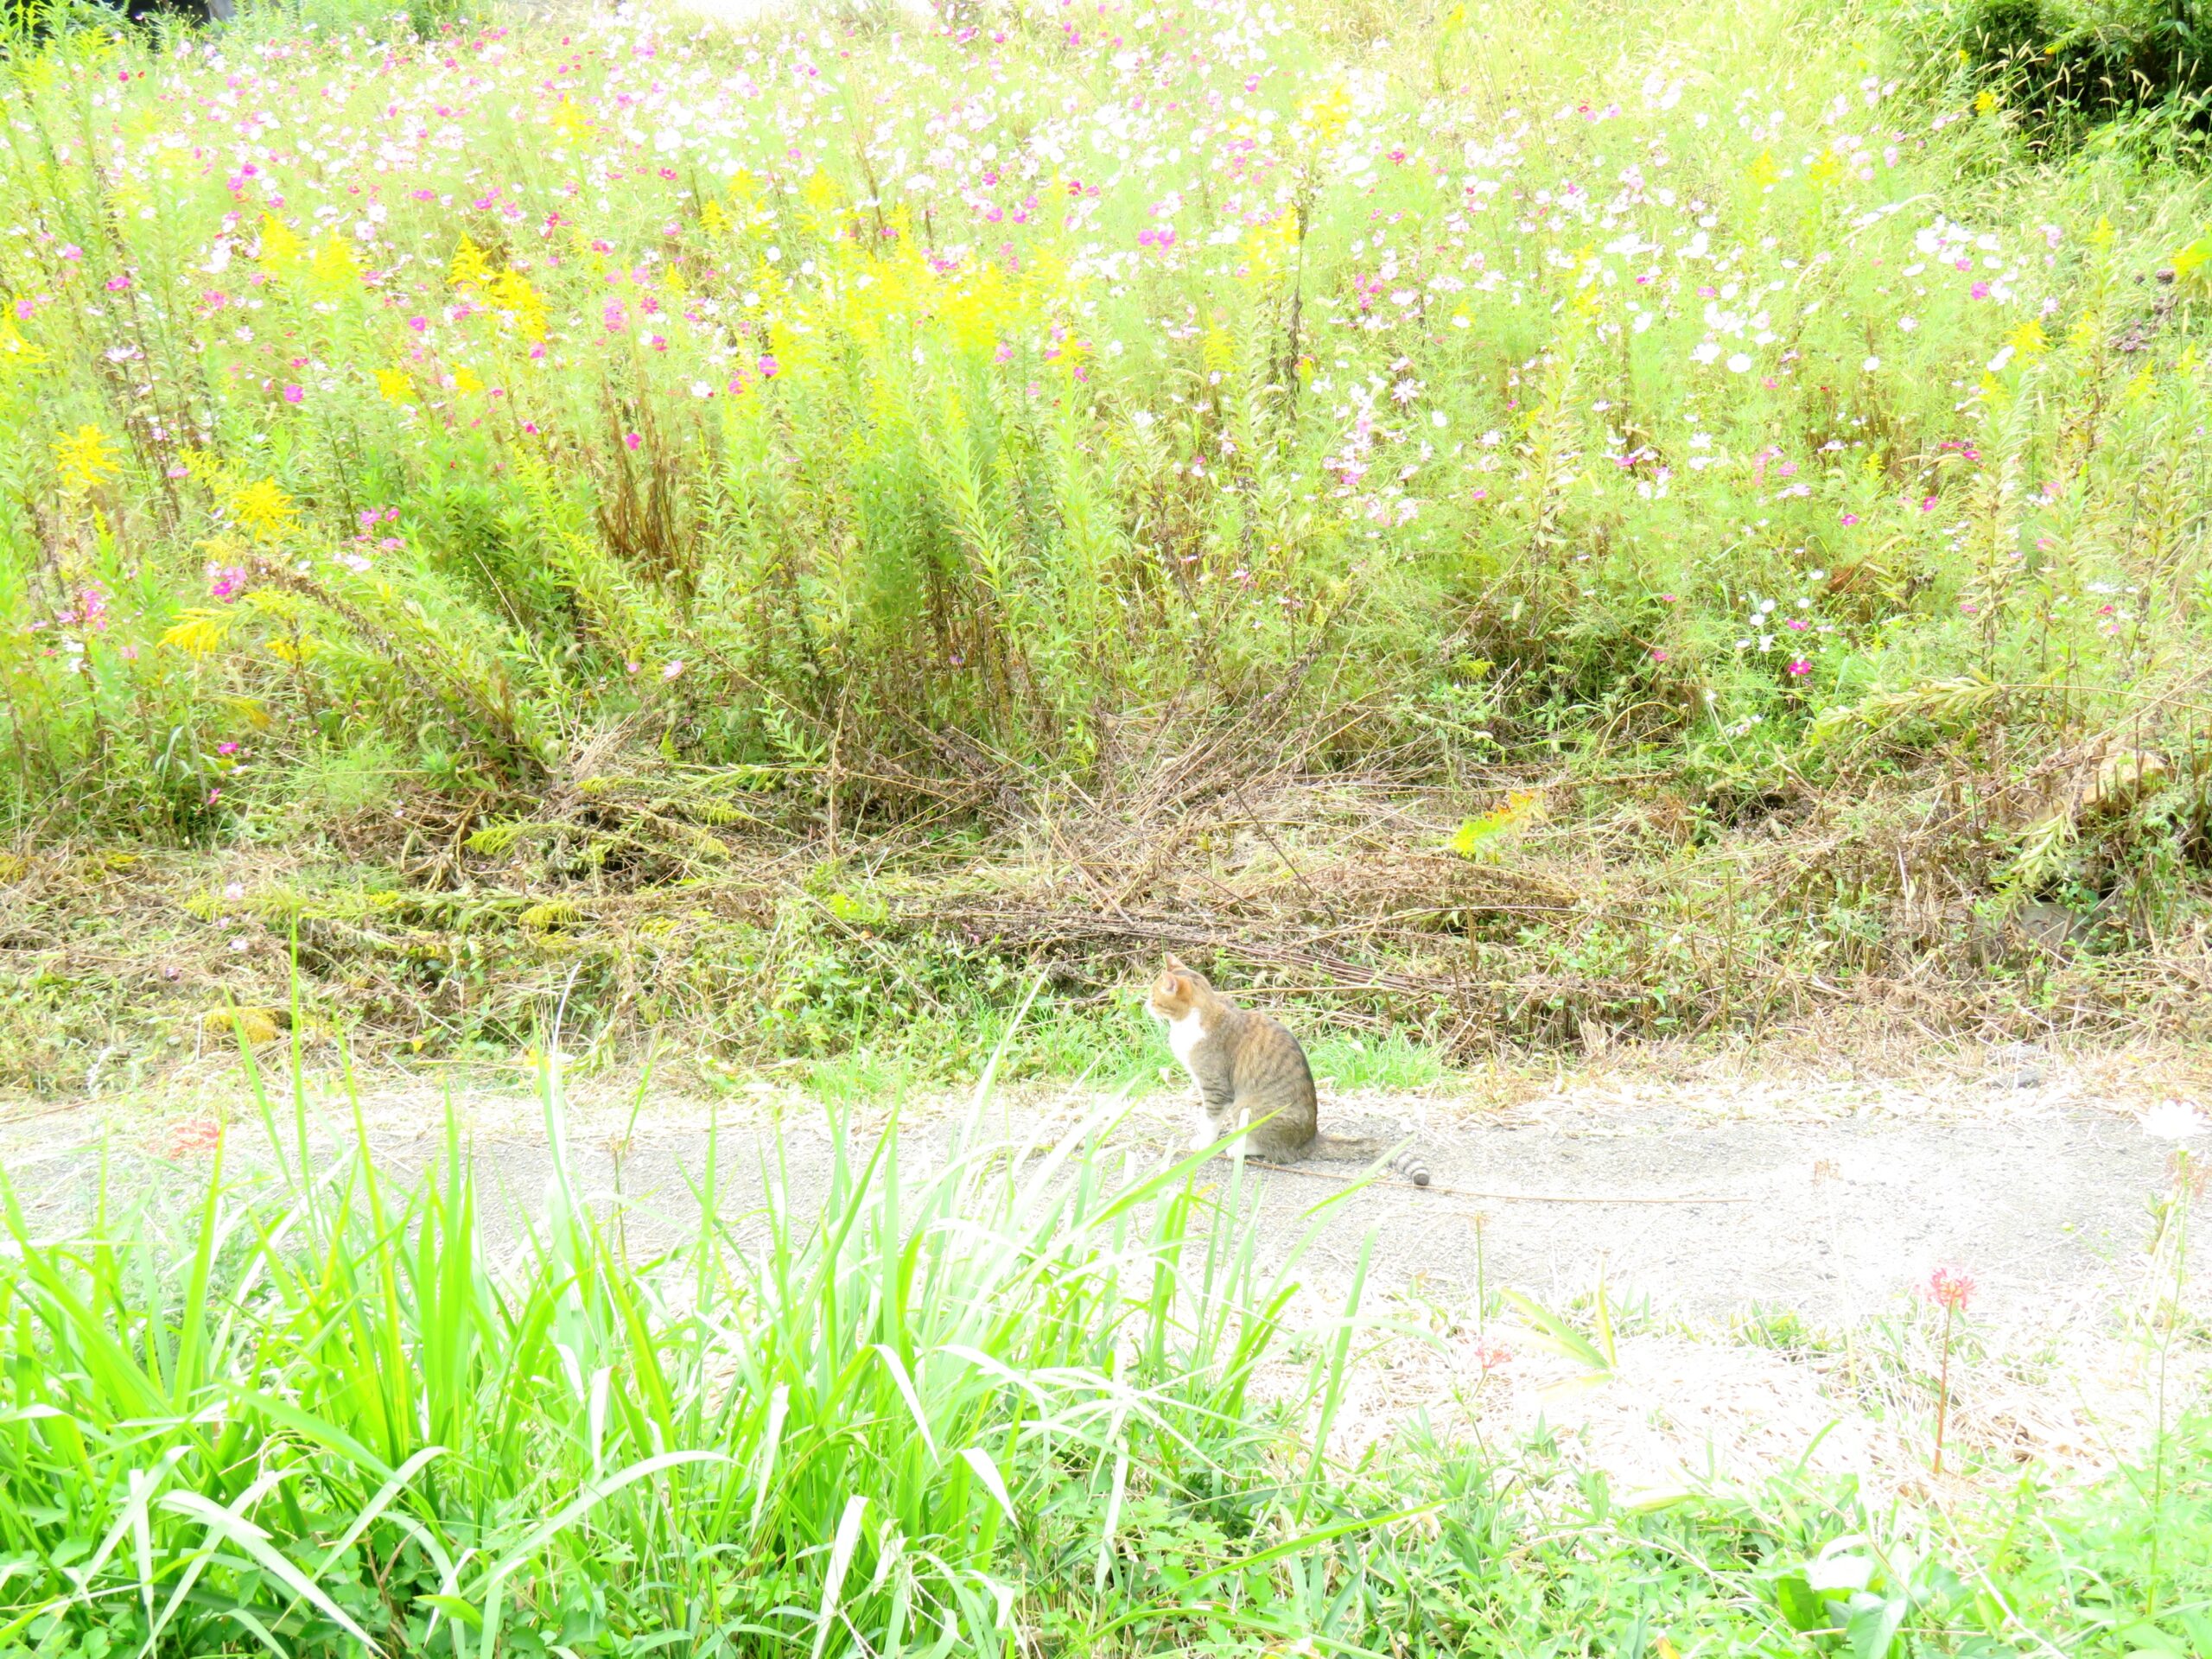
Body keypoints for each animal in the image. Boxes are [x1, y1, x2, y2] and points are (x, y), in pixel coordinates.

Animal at [1141, 955, 1433, 1185]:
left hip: (1245, 1107)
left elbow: (1210, 1119)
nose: (1144, 1005)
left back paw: (1238, 1148)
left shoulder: (1216, 1087)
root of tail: (1310, 1139)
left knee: (1274, 1150)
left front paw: (1204, 1142)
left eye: (1154, 997)